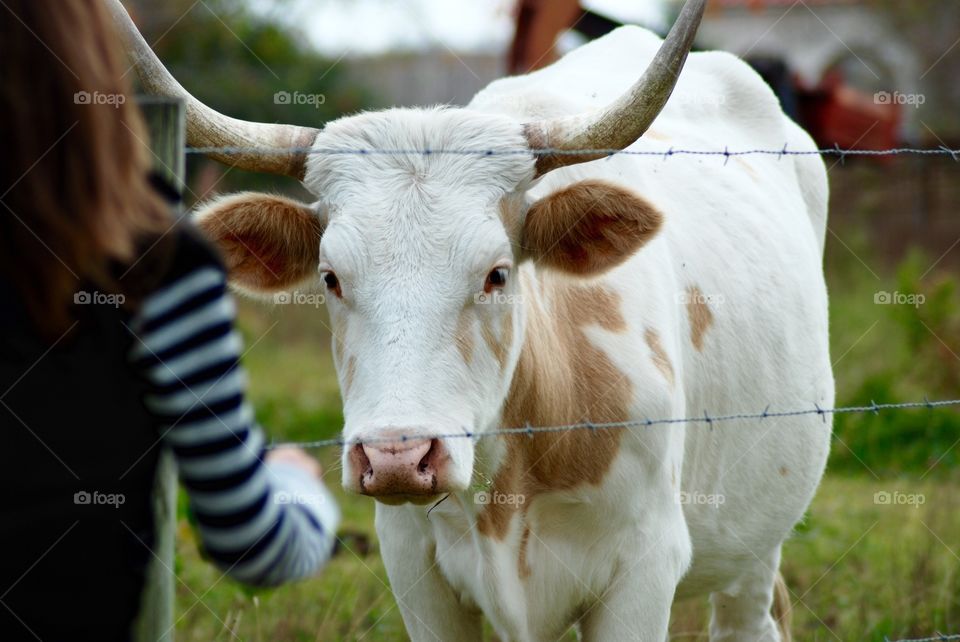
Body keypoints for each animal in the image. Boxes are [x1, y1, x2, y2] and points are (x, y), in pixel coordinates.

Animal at [110, 1, 832, 636]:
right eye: (331, 277)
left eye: (497, 274)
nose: (396, 457)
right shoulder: (414, 570)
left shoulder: (644, 573)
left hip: (755, 536)